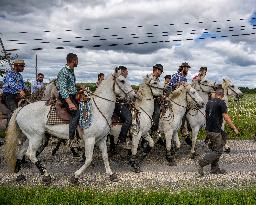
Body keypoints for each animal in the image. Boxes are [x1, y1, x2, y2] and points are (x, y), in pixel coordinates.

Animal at [4, 69, 136, 184]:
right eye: (122, 80)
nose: (134, 96)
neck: (99, 110)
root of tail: (21, 109)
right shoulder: (90, 139)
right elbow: (88, 159)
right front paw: (75, 176)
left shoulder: (102, 139)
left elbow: (105, 157)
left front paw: (111, 174)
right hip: (36, 137)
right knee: (31, 154)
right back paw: (46, 176)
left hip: (30, 137)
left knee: (21, 153)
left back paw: (19, 174)